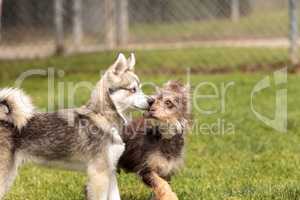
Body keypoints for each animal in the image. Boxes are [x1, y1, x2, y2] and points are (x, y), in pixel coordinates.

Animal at [0, 53, 151, 200]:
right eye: (133, 89)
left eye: (140, 88)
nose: (151, 100)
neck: (103, 118)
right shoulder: (99, 174)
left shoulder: (111, 171)